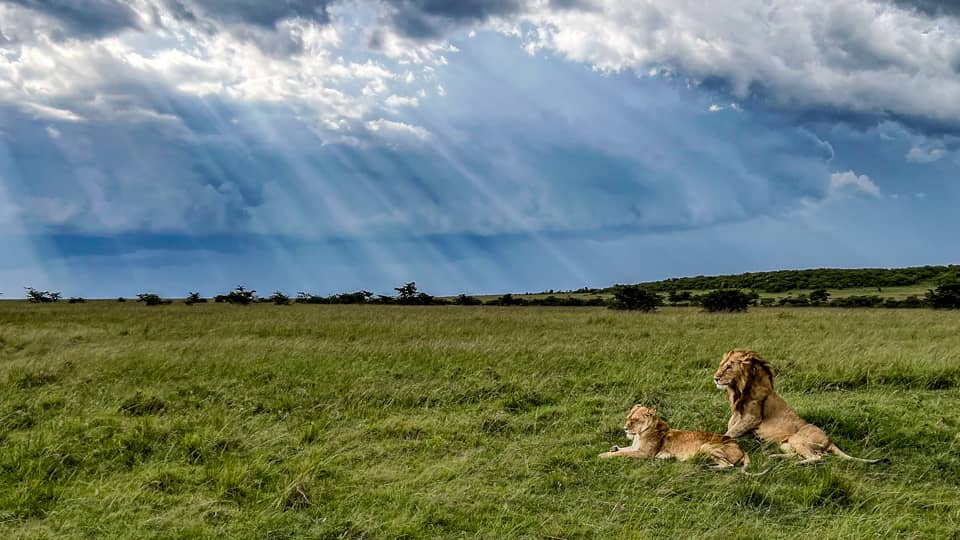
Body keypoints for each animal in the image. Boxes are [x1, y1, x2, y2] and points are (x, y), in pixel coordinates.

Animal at [598, 405, 764, 473]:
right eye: (628, 418)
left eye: (634, 420)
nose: (625, 428)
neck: (639, 435)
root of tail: (741, 447)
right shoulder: (635, 448)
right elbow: (622, 449)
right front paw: (612, 448)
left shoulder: (645, 454)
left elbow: (622, 453)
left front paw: (603, 455)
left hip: (706, 446)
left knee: (728, 466)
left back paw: (705, 467)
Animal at [714, 349, 880, 464]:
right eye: (721, 365)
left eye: (729, 367)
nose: (715, 378)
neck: (739, 390)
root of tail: (829, 440)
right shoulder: (737, 416)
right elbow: (729, 429)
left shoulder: (752, 418)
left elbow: (728, 433)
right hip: (785, 444)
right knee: (799, 454)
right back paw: (774, 456)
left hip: (797, 439)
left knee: (818, 457)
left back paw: (797, 463)